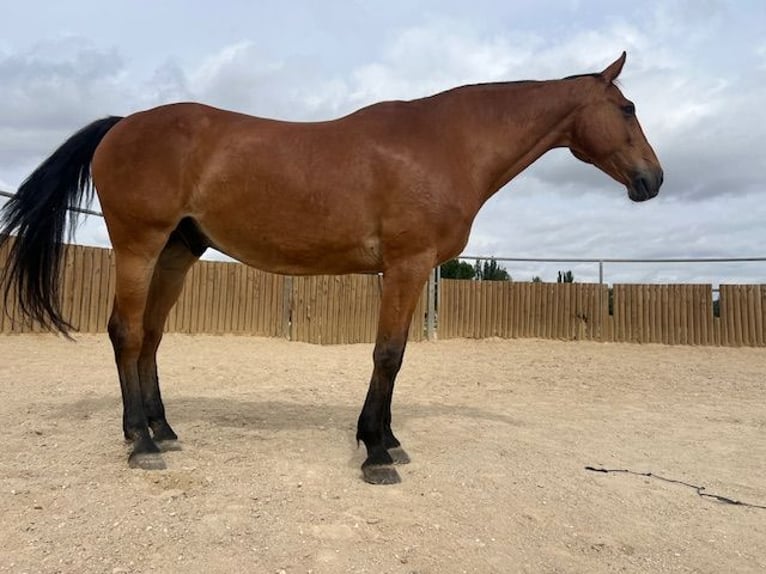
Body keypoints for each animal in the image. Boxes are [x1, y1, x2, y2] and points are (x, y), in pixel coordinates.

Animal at [0, 52, 662, 484]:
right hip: (140, 247)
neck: (445, 143)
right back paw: (139, 443)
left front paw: (389, 439)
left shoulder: (406, 274)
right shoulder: (407, 266)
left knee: (151, 338)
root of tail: (122, 124)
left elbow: (397, 355)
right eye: (628, 107)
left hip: (177, 253)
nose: (653, 180)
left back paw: (162, 429)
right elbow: (387, 355)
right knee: (126, 333)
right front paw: (376, 453)